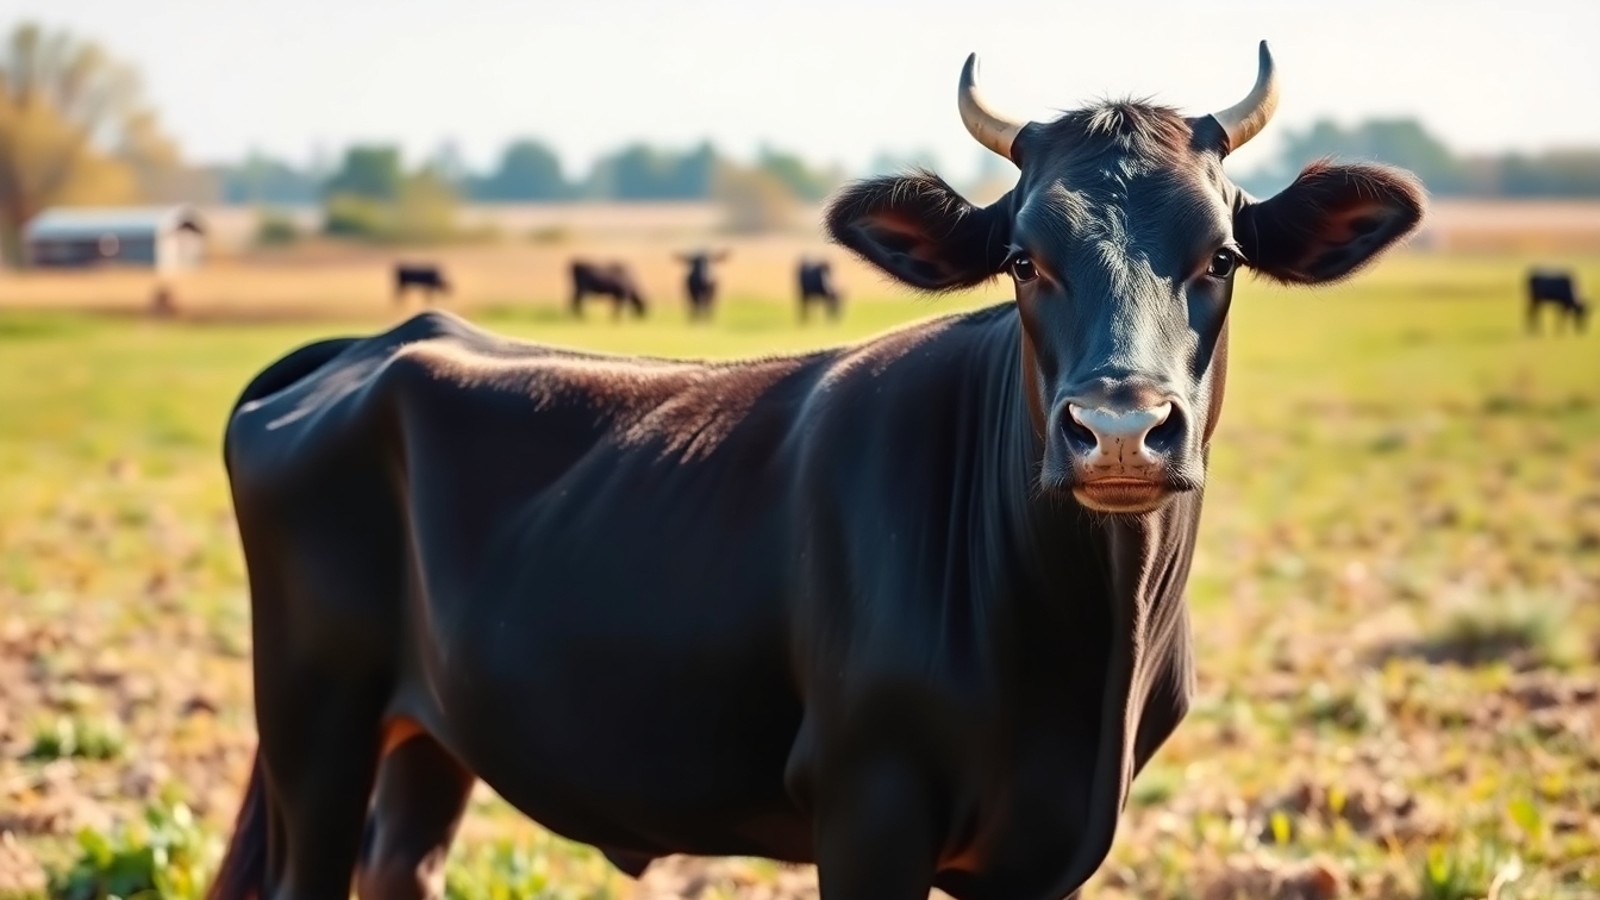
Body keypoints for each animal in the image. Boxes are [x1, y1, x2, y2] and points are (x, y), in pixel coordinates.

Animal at [207, 42, 1422, 900]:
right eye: (1024, 259)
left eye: (1220, 255)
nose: (1120, 428)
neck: (1090, 659)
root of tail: (383, 339)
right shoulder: (867, 802)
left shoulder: (1039, 852)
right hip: (314, 722)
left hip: (426, 736)